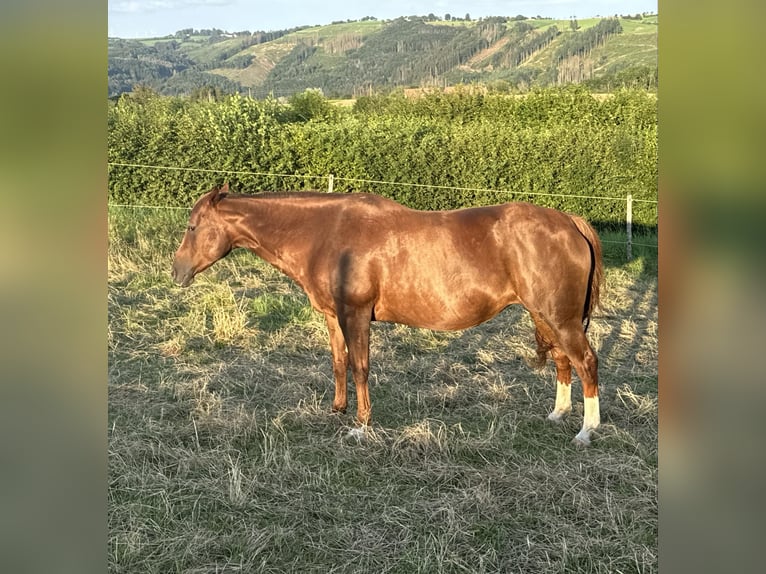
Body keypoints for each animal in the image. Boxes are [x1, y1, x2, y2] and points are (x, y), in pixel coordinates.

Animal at [172, 187, 608, 448]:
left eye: (193, 226)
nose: (176, 272)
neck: (325, 233)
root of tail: (570, 222)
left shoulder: (355, 315)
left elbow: (360, 366)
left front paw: (361, 425)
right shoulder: (333, 316)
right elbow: (339, 362)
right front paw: (337, 409)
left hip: (561, 319)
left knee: (586, 361)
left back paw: (586, 430)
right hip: (545, 316)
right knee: (563, 360)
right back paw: (558, 414)